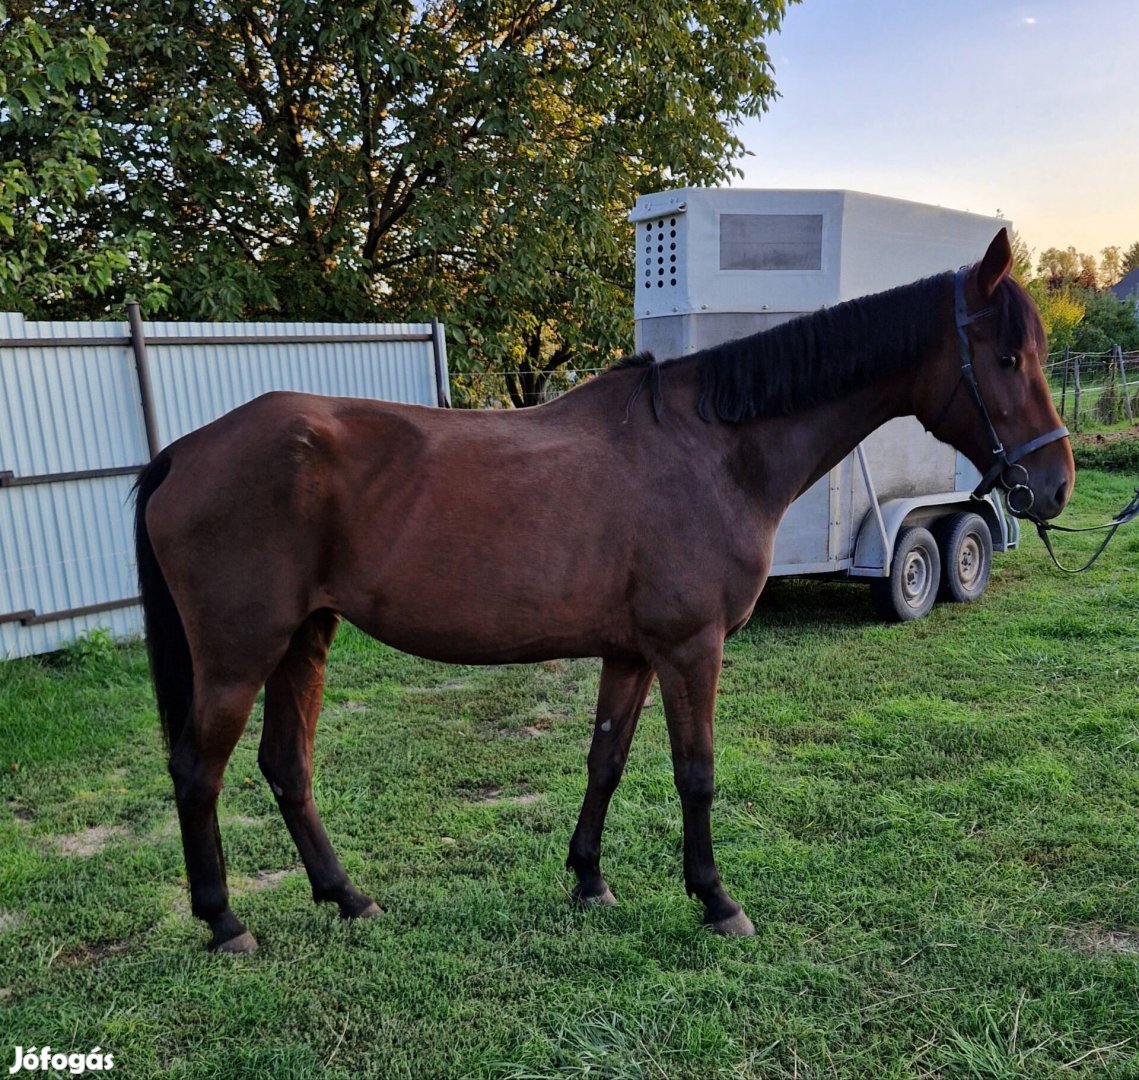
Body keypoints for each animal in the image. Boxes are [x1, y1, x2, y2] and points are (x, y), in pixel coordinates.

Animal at [135, 230, 1075, 952]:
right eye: (1005, 356)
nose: (1055, 484)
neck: (714, 449)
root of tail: (184, 451)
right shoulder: (691, 647)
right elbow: (695, 773)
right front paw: (716, 900)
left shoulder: (632, 653)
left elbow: (606, 761)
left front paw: (588, 880)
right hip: (239, 653)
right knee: (198, 771)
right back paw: (224, 924)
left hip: (305, 637)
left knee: (285, 766)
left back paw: (348, 898)